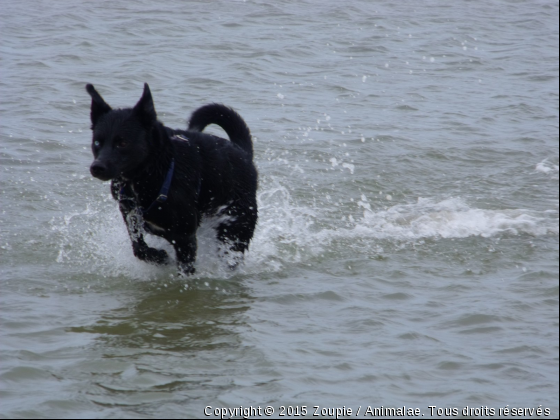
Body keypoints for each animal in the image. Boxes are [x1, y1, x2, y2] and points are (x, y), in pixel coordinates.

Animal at [86, 83, 260, 274]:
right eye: (97, 142)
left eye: (122, 143)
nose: (97, 167)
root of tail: (242, 152)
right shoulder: (132, 217)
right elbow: (139, 248)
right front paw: (159, 257)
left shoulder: (185, 237)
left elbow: (185, 269)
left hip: (235, 229)